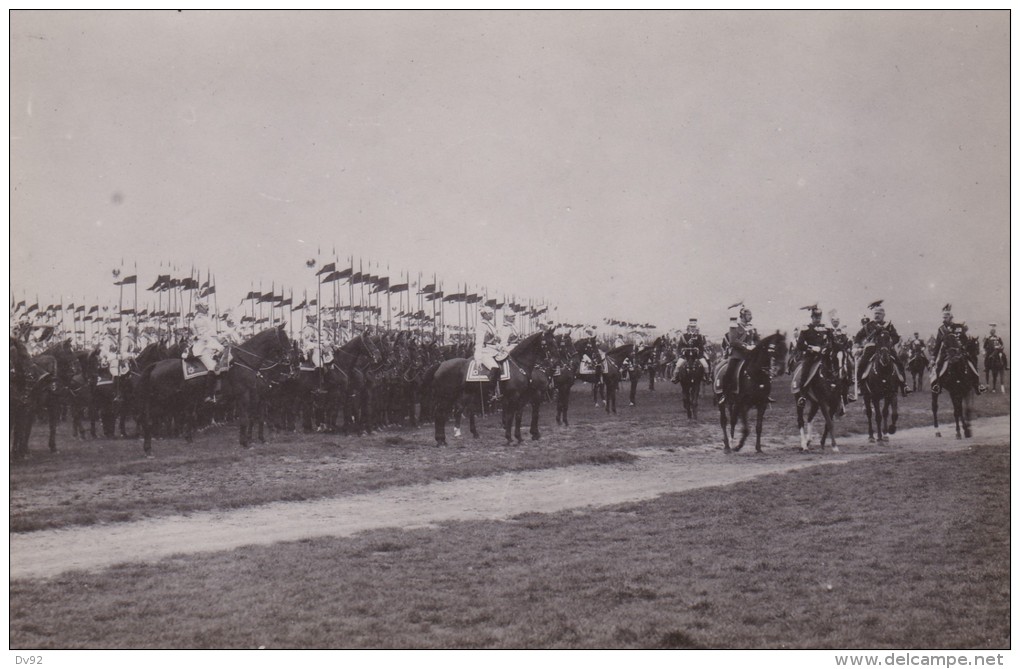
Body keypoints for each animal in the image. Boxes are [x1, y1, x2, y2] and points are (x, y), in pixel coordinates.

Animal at [134, 324, 287, 454]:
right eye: (285, 338)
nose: (288, 359)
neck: (244, 361)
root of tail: (156, 365)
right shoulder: (244, 394)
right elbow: (245, 418)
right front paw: (245, 442)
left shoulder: (252, 396)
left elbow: (252, 417)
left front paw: (249, 439)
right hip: (163, 401)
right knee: (150, 420)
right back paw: (149, 447)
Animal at [430, 328, 558, 444]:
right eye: (547, 343)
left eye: (554, 341)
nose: (555, 362)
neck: (519, 365)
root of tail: (441, 364)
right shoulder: (517, 396)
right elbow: (513, 415)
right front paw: (511, 437)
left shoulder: (521, 397)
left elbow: (518, 416)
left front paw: (519, 437)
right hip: (447, 396)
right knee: (440, 413)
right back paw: (441, 440)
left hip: (466, 393)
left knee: (460, 411)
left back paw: (446, 438)